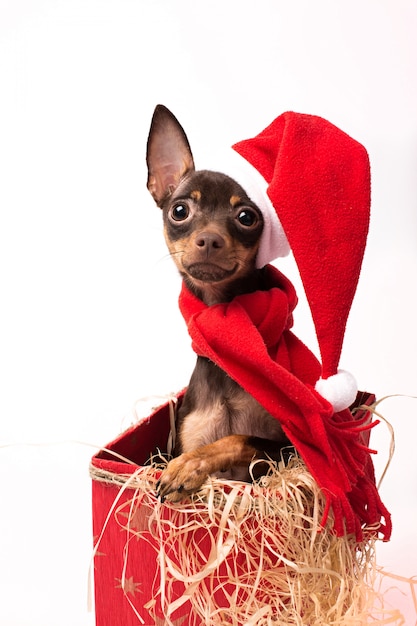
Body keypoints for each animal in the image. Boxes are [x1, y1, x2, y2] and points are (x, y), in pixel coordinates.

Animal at [146, 105, 290, 500]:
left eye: (246, 217)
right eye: (179, 211)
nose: (209, 239)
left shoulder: (287, 447)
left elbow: (237, 438)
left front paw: (189, 467)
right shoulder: (187, 435)